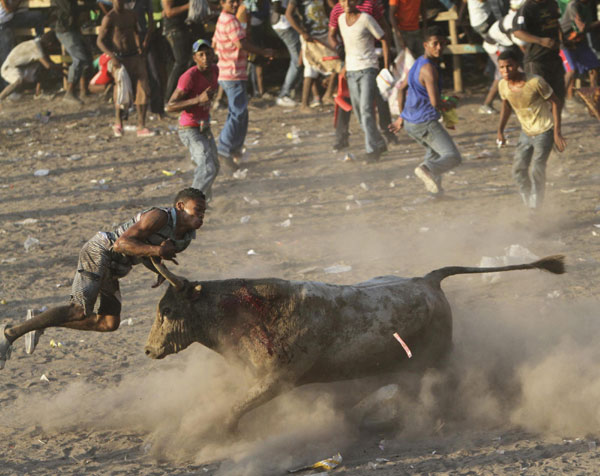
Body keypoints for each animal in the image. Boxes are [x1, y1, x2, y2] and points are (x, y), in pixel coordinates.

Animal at [144, 256, 564, 432]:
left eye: (168, 310)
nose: (148, 351)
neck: (245, 312)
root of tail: (428, 280)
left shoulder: (277, 380)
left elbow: (235, 407)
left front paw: (219, 431)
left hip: (439, 358)